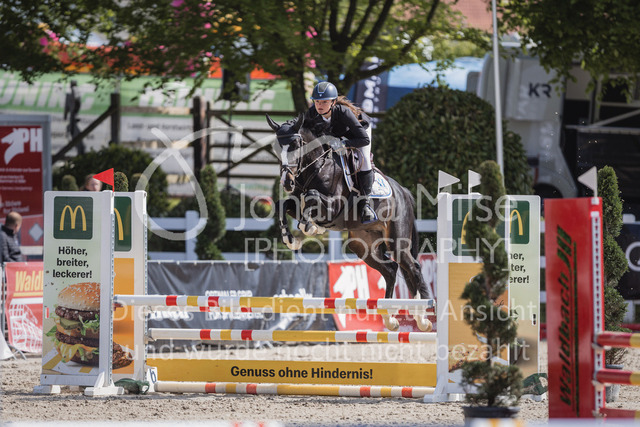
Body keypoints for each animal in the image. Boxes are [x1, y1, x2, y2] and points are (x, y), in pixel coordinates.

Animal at [266, 114, 432, 332]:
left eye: (295, 144)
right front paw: (290, 238)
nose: (287, 182)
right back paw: (389, 318)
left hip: (397, 242)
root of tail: (403, 192)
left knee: (413, 268)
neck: (317, 168)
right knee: (390, 270)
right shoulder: (296, 203)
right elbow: (282, 205)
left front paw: (309, 226)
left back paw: (422, 319)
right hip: (363, 246)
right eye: (277, 148)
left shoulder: (333, 207)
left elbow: (311, 197)